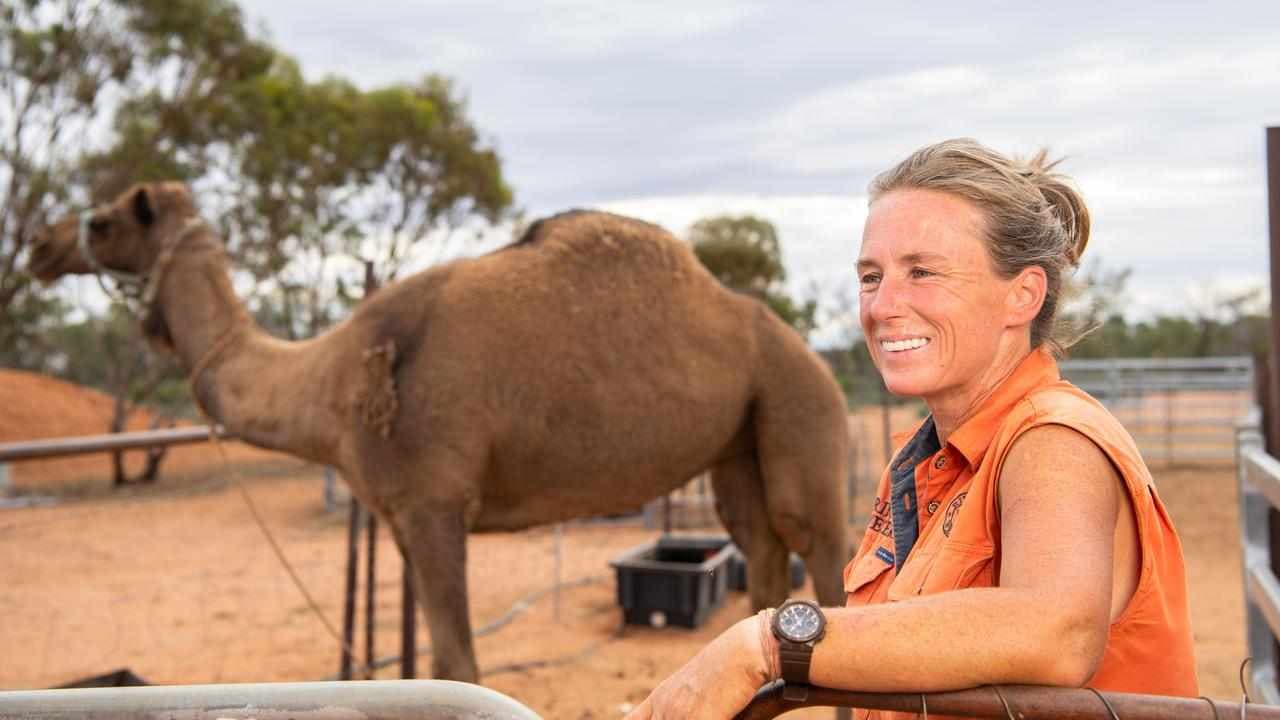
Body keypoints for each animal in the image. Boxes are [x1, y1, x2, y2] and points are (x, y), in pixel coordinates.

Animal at [28, 182, 850, 684]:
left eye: (101, 221)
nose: (39, 245)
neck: (330, 379)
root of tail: (811, 352)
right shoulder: (397, 517)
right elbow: (425, 661)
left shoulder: (434, 505)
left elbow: (459, 665)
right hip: (738, 440)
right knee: (762, 555)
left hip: (801, 403)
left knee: (821, 559)